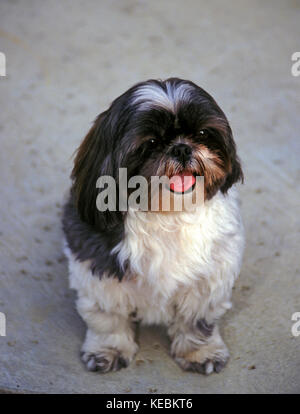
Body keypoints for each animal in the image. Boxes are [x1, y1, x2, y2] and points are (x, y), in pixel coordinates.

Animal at [62, 77, 244, 376]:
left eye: (202, 133)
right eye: (151, 142)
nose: (181, 148)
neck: (167, 214)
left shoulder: (210, 276)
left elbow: (197, 320)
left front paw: (200, 352)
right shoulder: (98, 270)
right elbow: (107, 318)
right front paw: (108, 349)